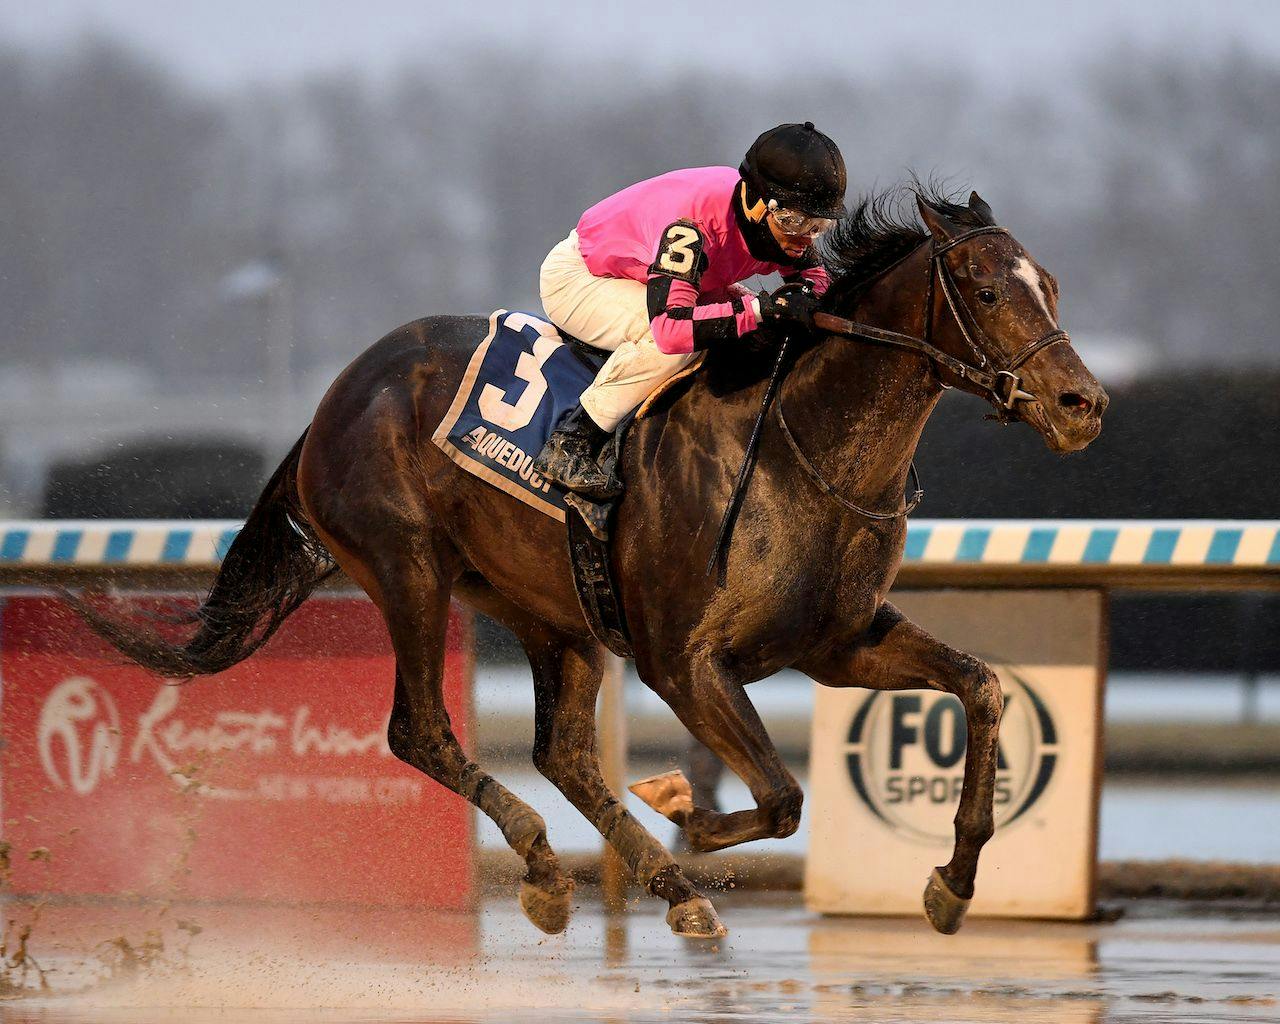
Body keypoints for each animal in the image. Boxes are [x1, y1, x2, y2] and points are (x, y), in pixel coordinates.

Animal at [74, 188, 1105, 942]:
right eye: (984, 290)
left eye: (1052, 283)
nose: (1081, 404)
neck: (797, 444)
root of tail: (338, 393)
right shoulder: (683, 661)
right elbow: (780, 798)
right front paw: (682, 803)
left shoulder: (838, 642)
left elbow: (980, 687)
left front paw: (954, 881)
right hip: (409, 570)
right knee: (421, 731)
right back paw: (558, 861)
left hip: (548, 610)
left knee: (561, 754)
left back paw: (646, 885)